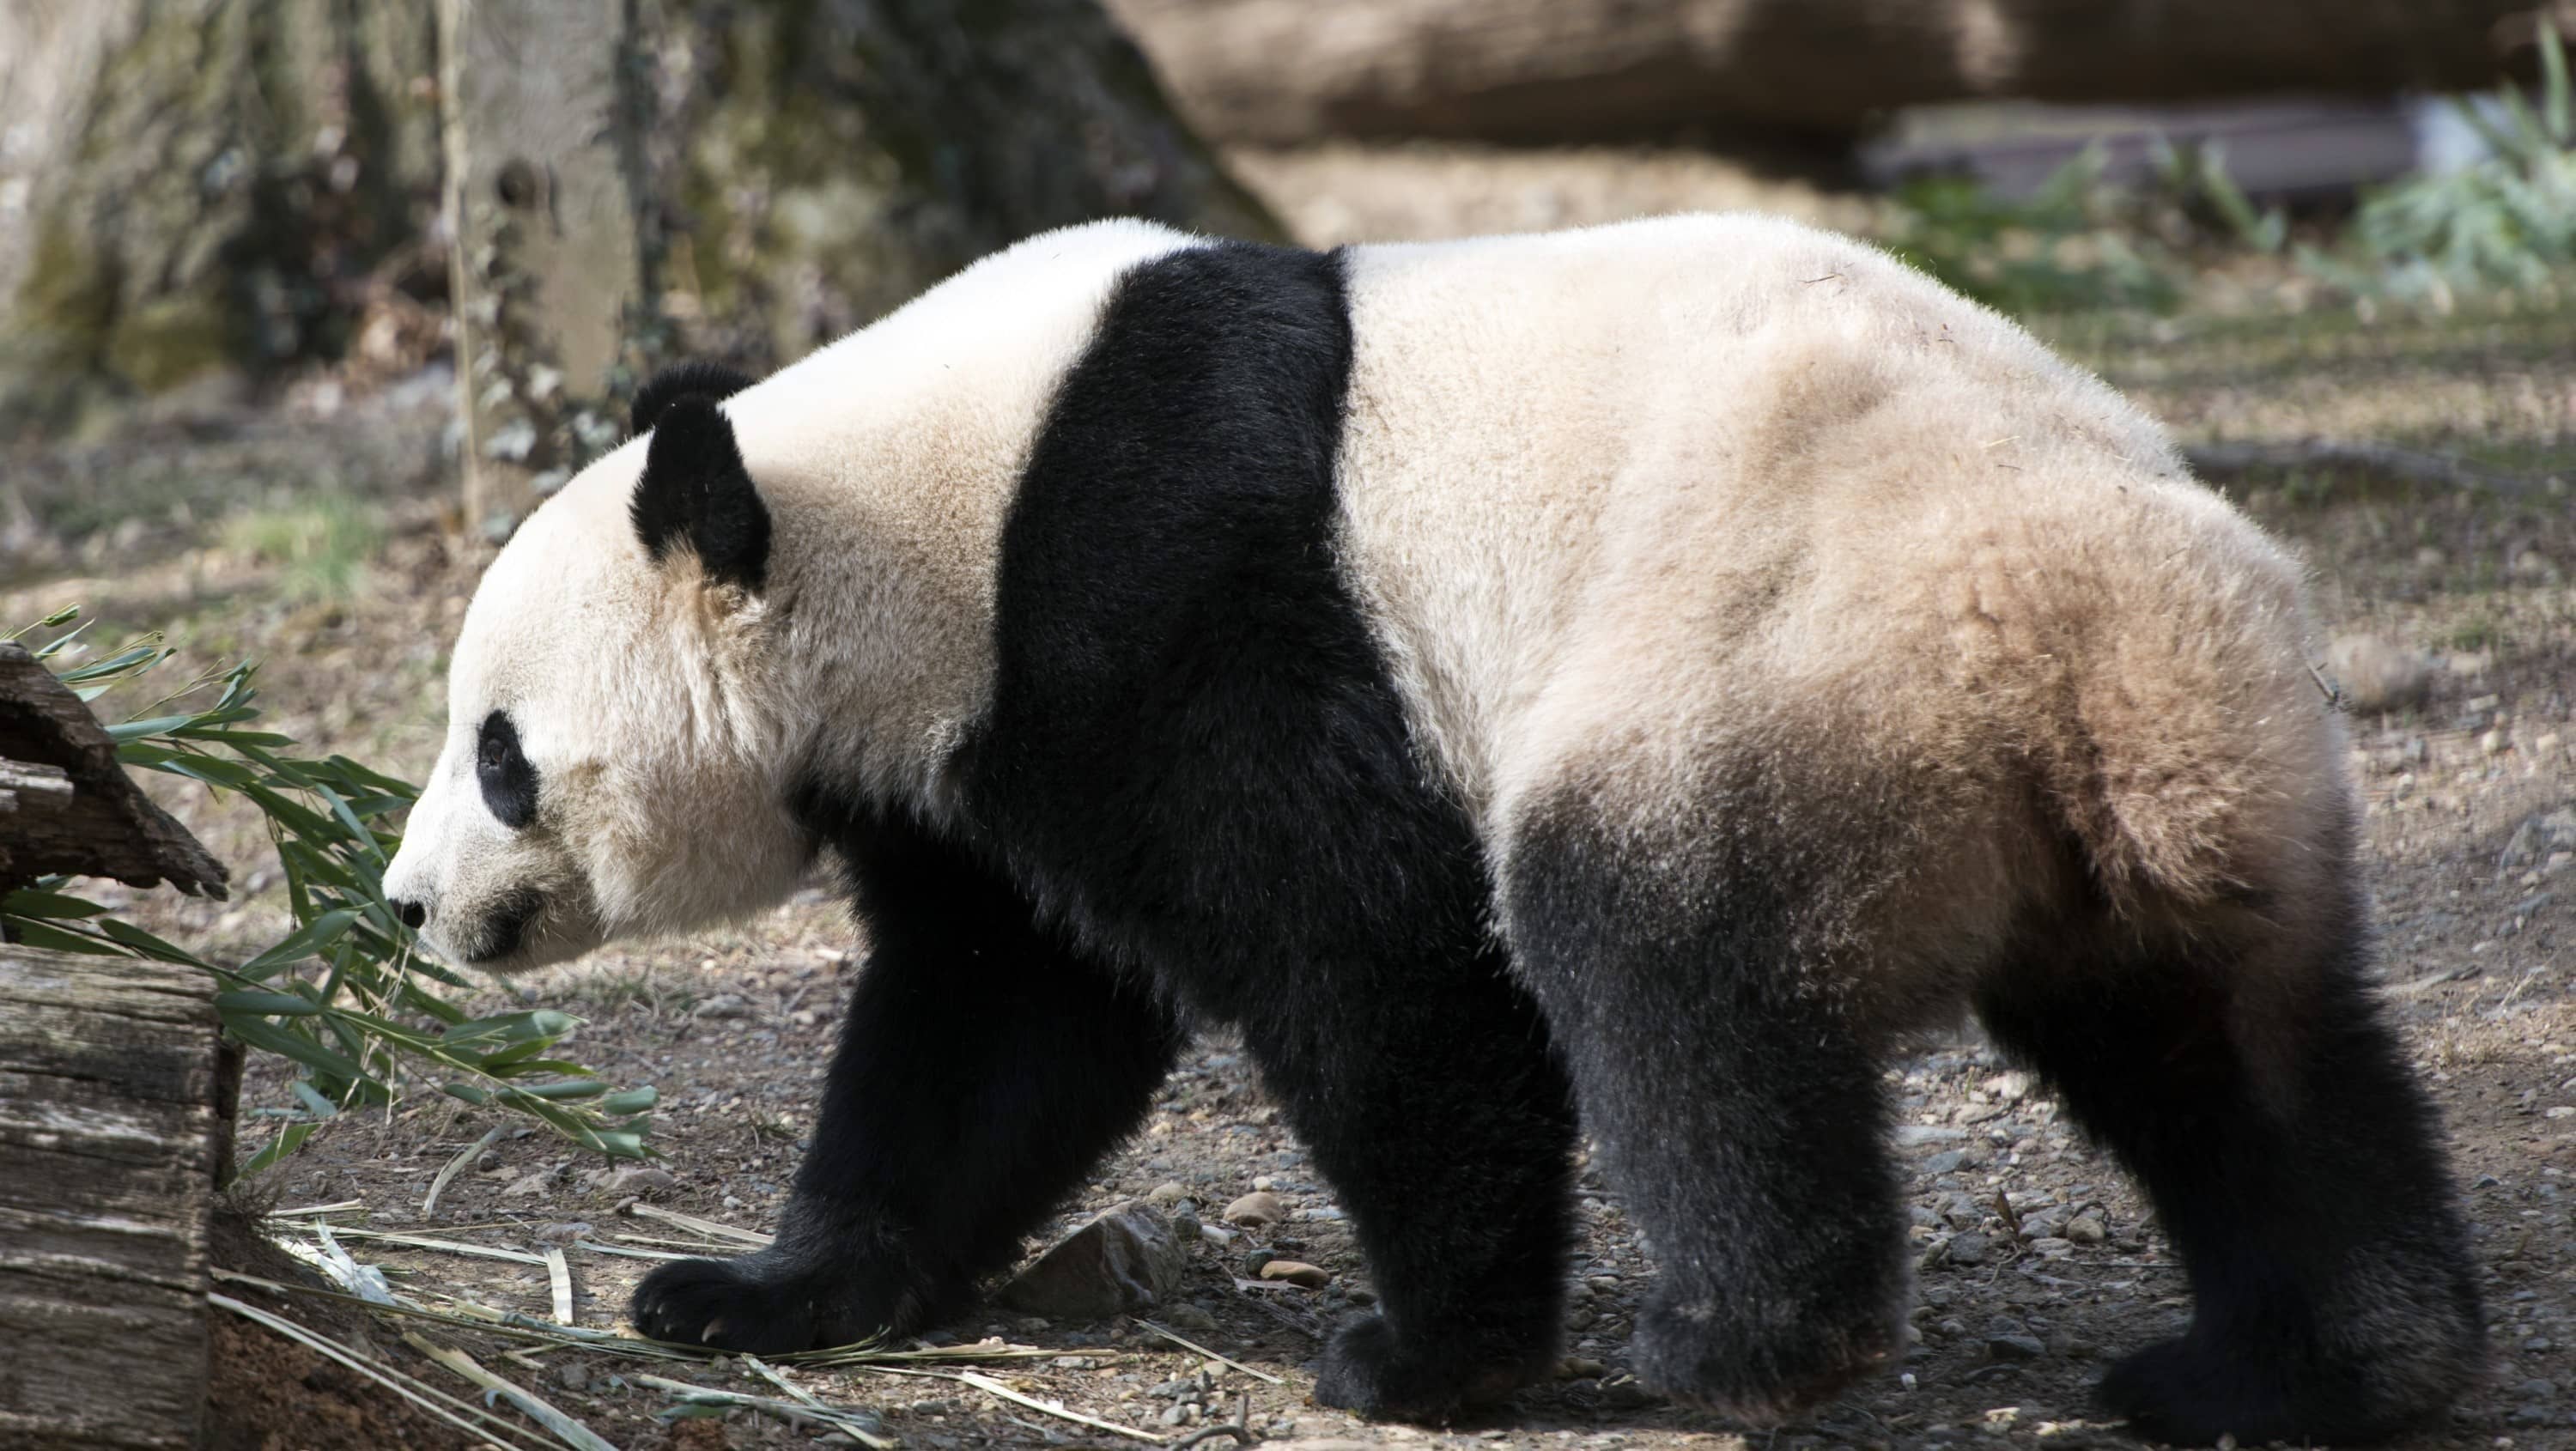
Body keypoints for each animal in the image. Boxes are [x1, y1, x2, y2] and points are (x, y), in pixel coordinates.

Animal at [374, 212, 2483, 1442]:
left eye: (499, 752)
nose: (405, 905)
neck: (909, 500)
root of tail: (2088, 642)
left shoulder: (1165, 585)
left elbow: (1366, 953)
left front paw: (1435, 1355)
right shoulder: (970, 742)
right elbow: (996, 1016)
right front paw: (756, 1292)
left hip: (1784, 653)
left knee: (1656, 951)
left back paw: (1744, 1335)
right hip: (2195, 785)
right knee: (2246, 1052)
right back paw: (2315, 1360)